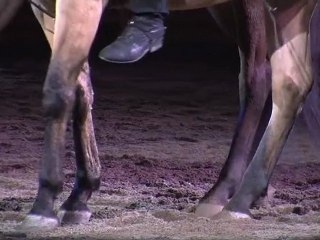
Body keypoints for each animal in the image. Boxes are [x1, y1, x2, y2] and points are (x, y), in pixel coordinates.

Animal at [0, 0, 316, 232]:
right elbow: (81, 92)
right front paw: (79, 196)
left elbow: (58, 93)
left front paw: (44, 206)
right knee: (282, 82)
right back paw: (235, 194)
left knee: (265, 81)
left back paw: (237, 198)